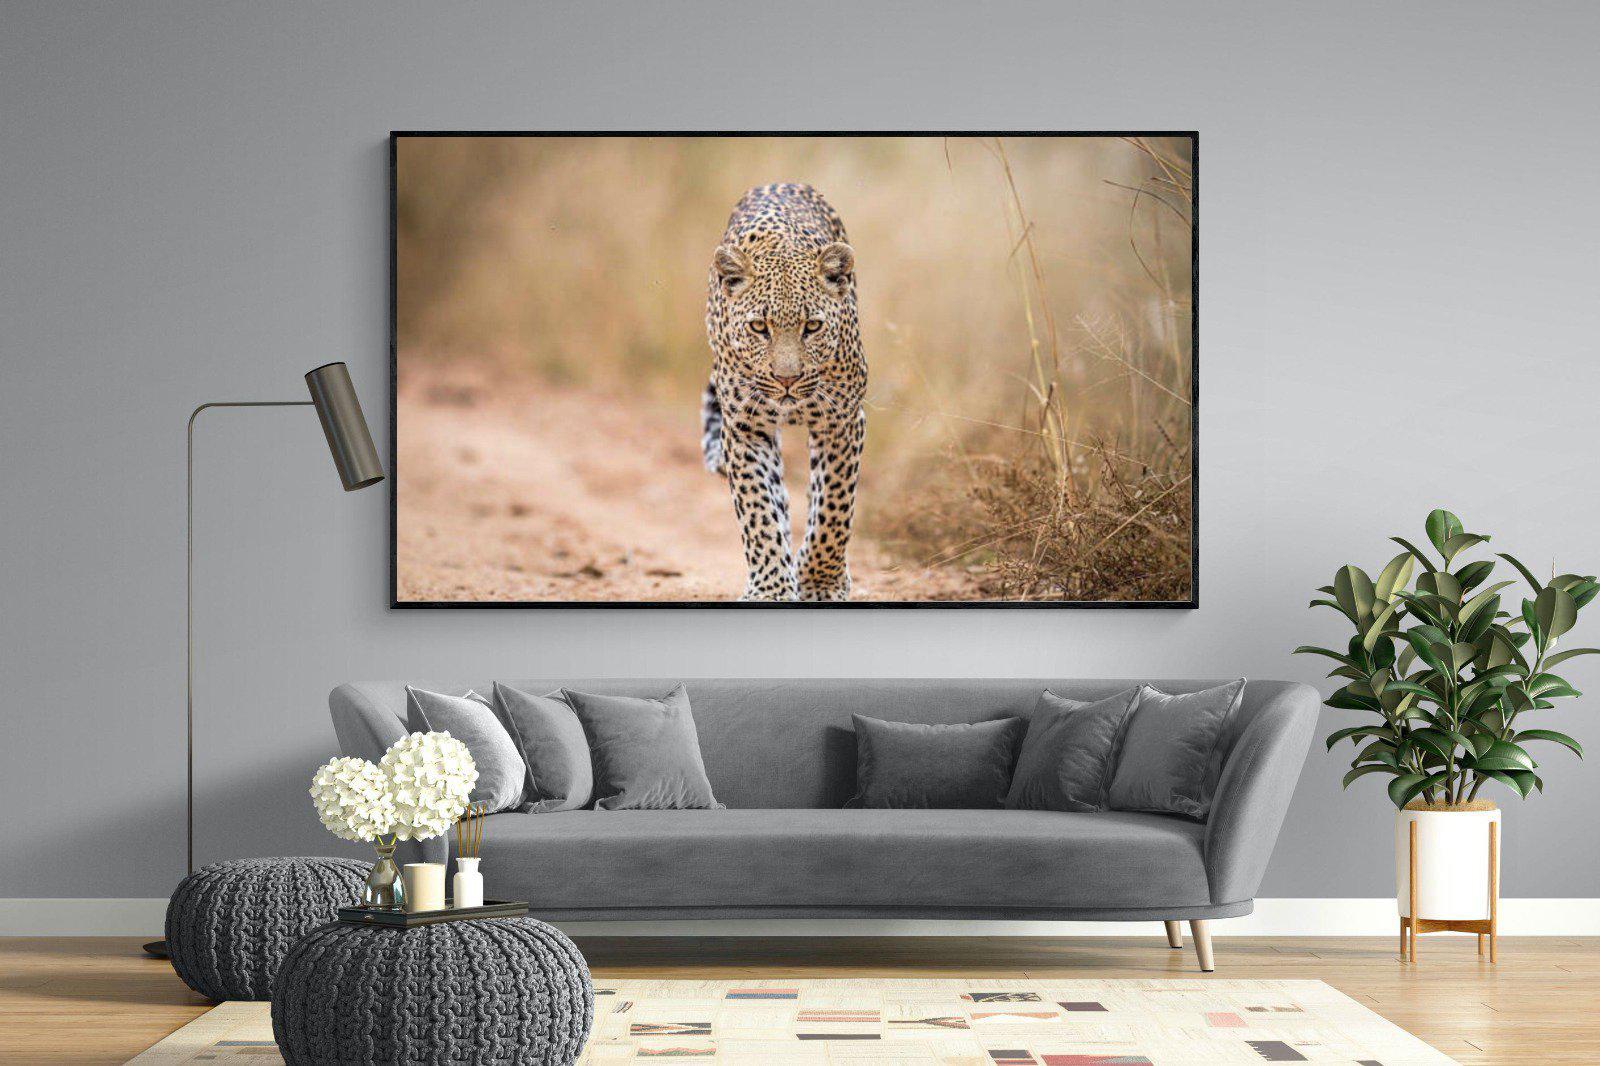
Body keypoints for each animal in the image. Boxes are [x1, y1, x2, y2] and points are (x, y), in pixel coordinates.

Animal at [700, 183, 867, 602]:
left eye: (813, 326)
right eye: (760, 327)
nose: (786, 379)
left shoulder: (841, 422)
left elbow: (834, 508)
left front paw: (820, 583)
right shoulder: (744, 428)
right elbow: (758, 509)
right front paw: (771, 588)